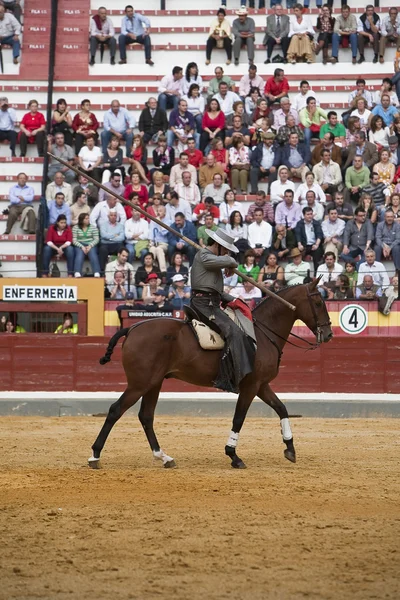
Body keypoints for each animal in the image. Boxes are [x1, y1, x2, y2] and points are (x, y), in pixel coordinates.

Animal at [89, 278, 332, 472]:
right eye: (318, 303)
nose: (328, 334)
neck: (262, 333)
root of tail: (131, 329)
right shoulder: (251, 386)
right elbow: (239, 418)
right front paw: (233, 456)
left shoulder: (262, 385)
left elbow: (281, 408)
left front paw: (290, 449)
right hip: (139, 383)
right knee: (116, 410)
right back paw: (95, 456)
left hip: (154, 383)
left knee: (146, 416)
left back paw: (164, 457)